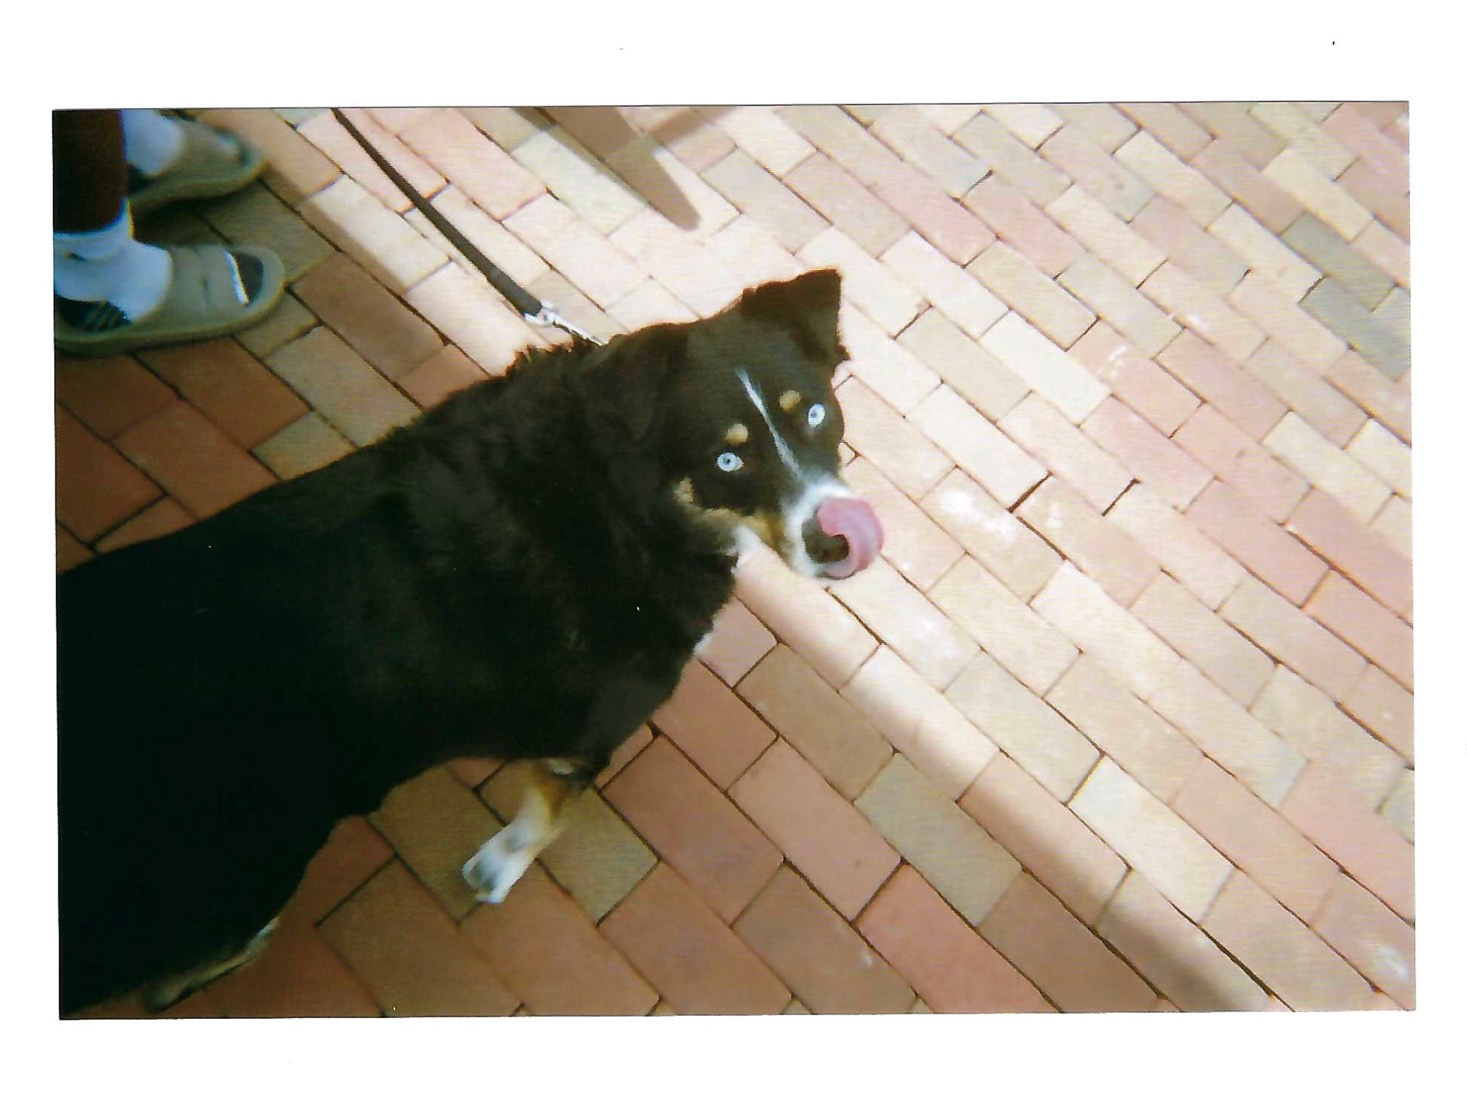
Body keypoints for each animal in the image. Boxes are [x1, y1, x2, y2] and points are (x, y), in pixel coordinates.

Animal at [57, 268, 883, 1015]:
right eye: (726, 458)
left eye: (816, 412)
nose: (838, 541)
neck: (622, 489)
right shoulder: (589, 733)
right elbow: (545, 821)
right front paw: (497, 871)